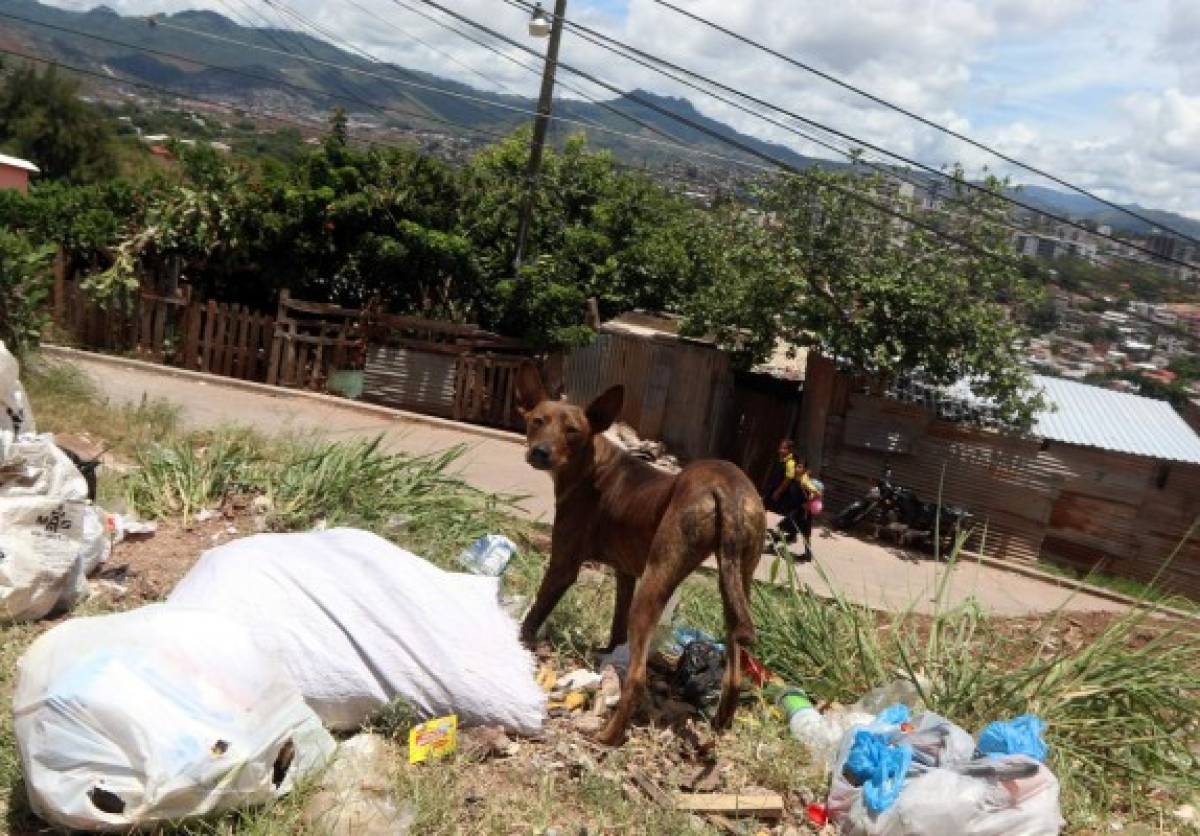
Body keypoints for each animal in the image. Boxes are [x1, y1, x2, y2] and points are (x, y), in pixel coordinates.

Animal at [513, 364, 758, 743]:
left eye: (572, 431)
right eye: (537, 421)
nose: (540, 452)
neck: (592, 463)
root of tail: (725, 486)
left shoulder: (564, 565)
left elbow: (537, 611)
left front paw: (521, 642)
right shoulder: (626, 573)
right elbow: (616, 624)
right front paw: (608, 654)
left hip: (655, 583)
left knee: (639, 679)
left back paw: (607, 736)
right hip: (737, 586)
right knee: (733, 674)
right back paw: (717, 728)